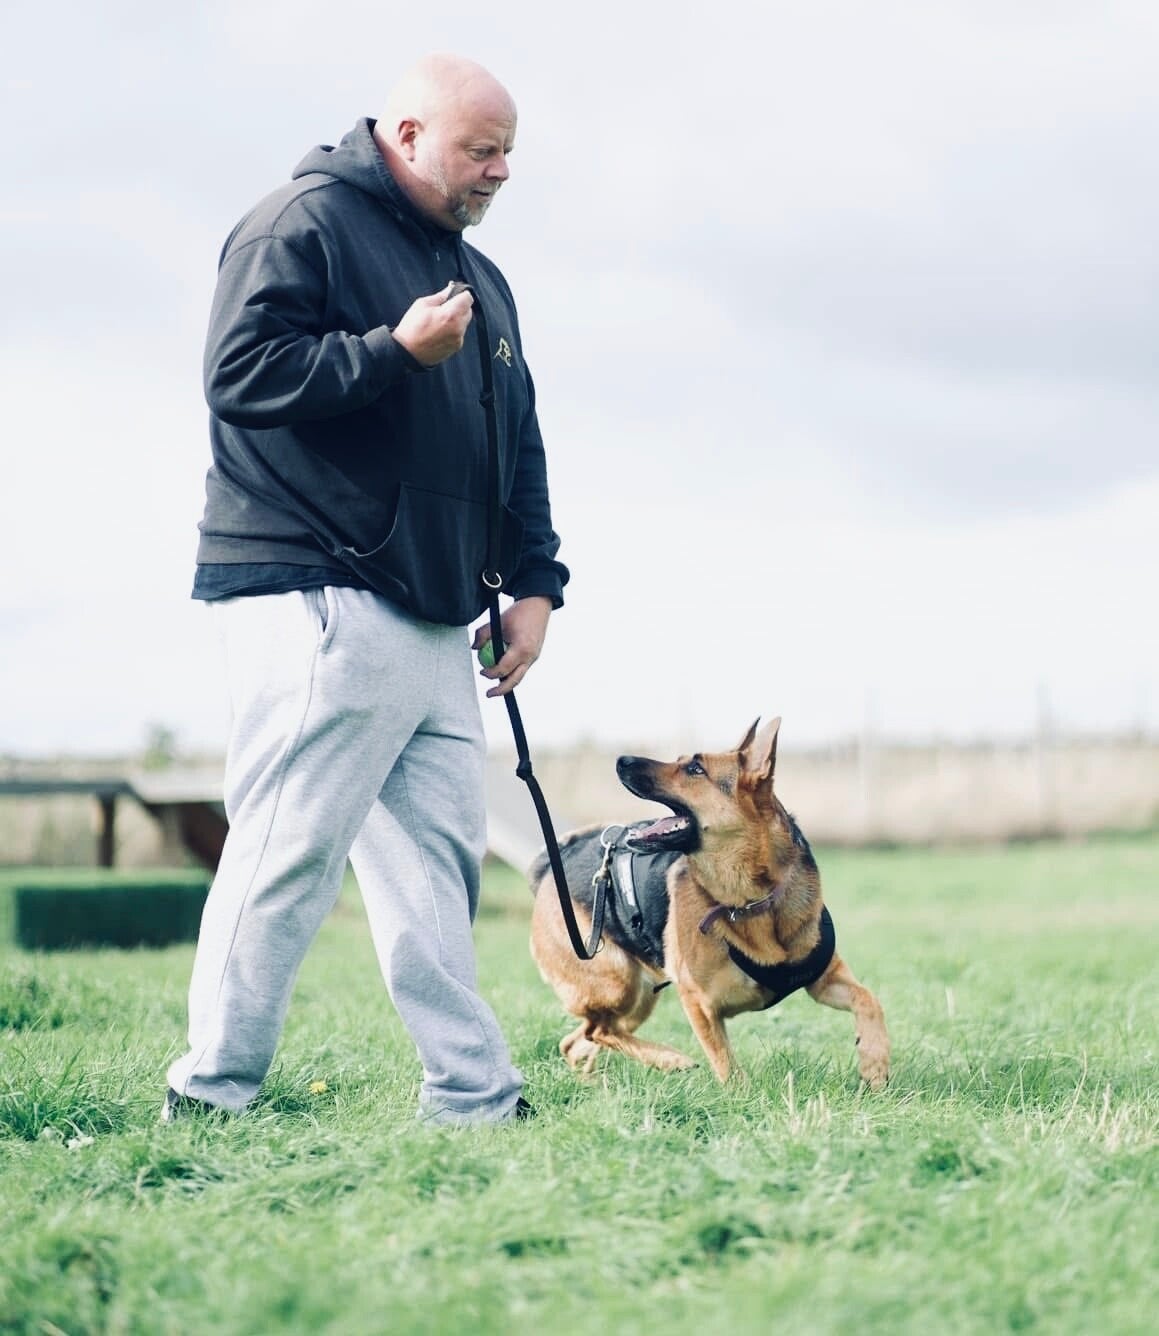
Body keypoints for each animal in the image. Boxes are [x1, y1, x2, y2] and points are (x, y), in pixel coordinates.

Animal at [529, 717, 890, 1087]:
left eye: (694, 768)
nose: (621, 759)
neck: (750, 900)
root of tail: (549, 868)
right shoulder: (699, 1004)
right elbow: (728, 1069)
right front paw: (744, 1097)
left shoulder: (825, 979)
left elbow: (870, 1000)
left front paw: (875, 1065)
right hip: (620, 985)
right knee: (597, 1031)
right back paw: (670, 1059)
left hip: (637, 999)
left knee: (580, 1039)